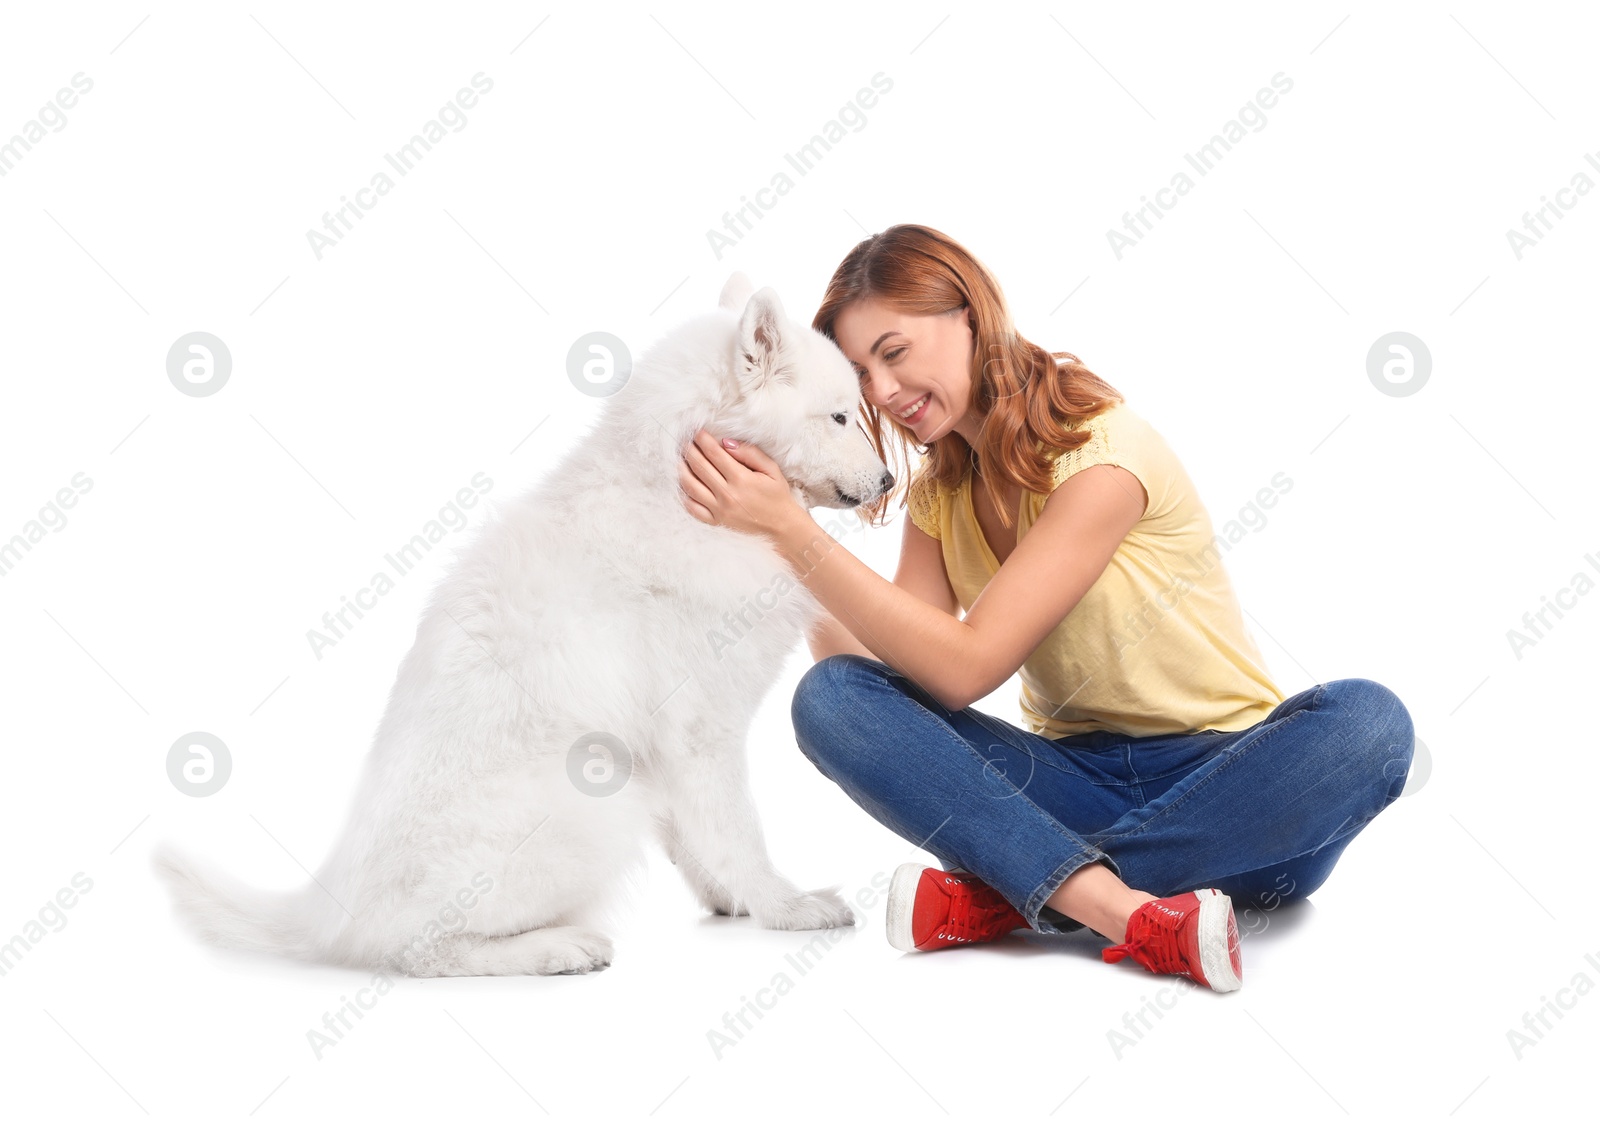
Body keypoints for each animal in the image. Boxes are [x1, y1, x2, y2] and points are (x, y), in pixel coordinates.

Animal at [151, 270, 896, 966]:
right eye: (839, 417)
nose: (891, 481)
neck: (674, 490)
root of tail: (328, 911)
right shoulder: (701, 731)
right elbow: (738, 831)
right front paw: (785, 906)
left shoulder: (671, 752)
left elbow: (698, 837)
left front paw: (730, 899)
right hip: (594, 807)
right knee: (417, 949)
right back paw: (554, 948)